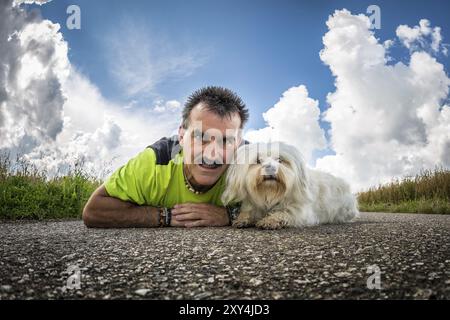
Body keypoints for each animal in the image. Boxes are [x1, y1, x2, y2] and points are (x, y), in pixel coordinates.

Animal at [221, 141, 358, 229]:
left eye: (280, 160)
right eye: (258, 160)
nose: (270, 168)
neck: (270, 193)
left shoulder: (301, 211)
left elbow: (285, 212)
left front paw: (270, 220)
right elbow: (249, 212)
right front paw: (243, 219)